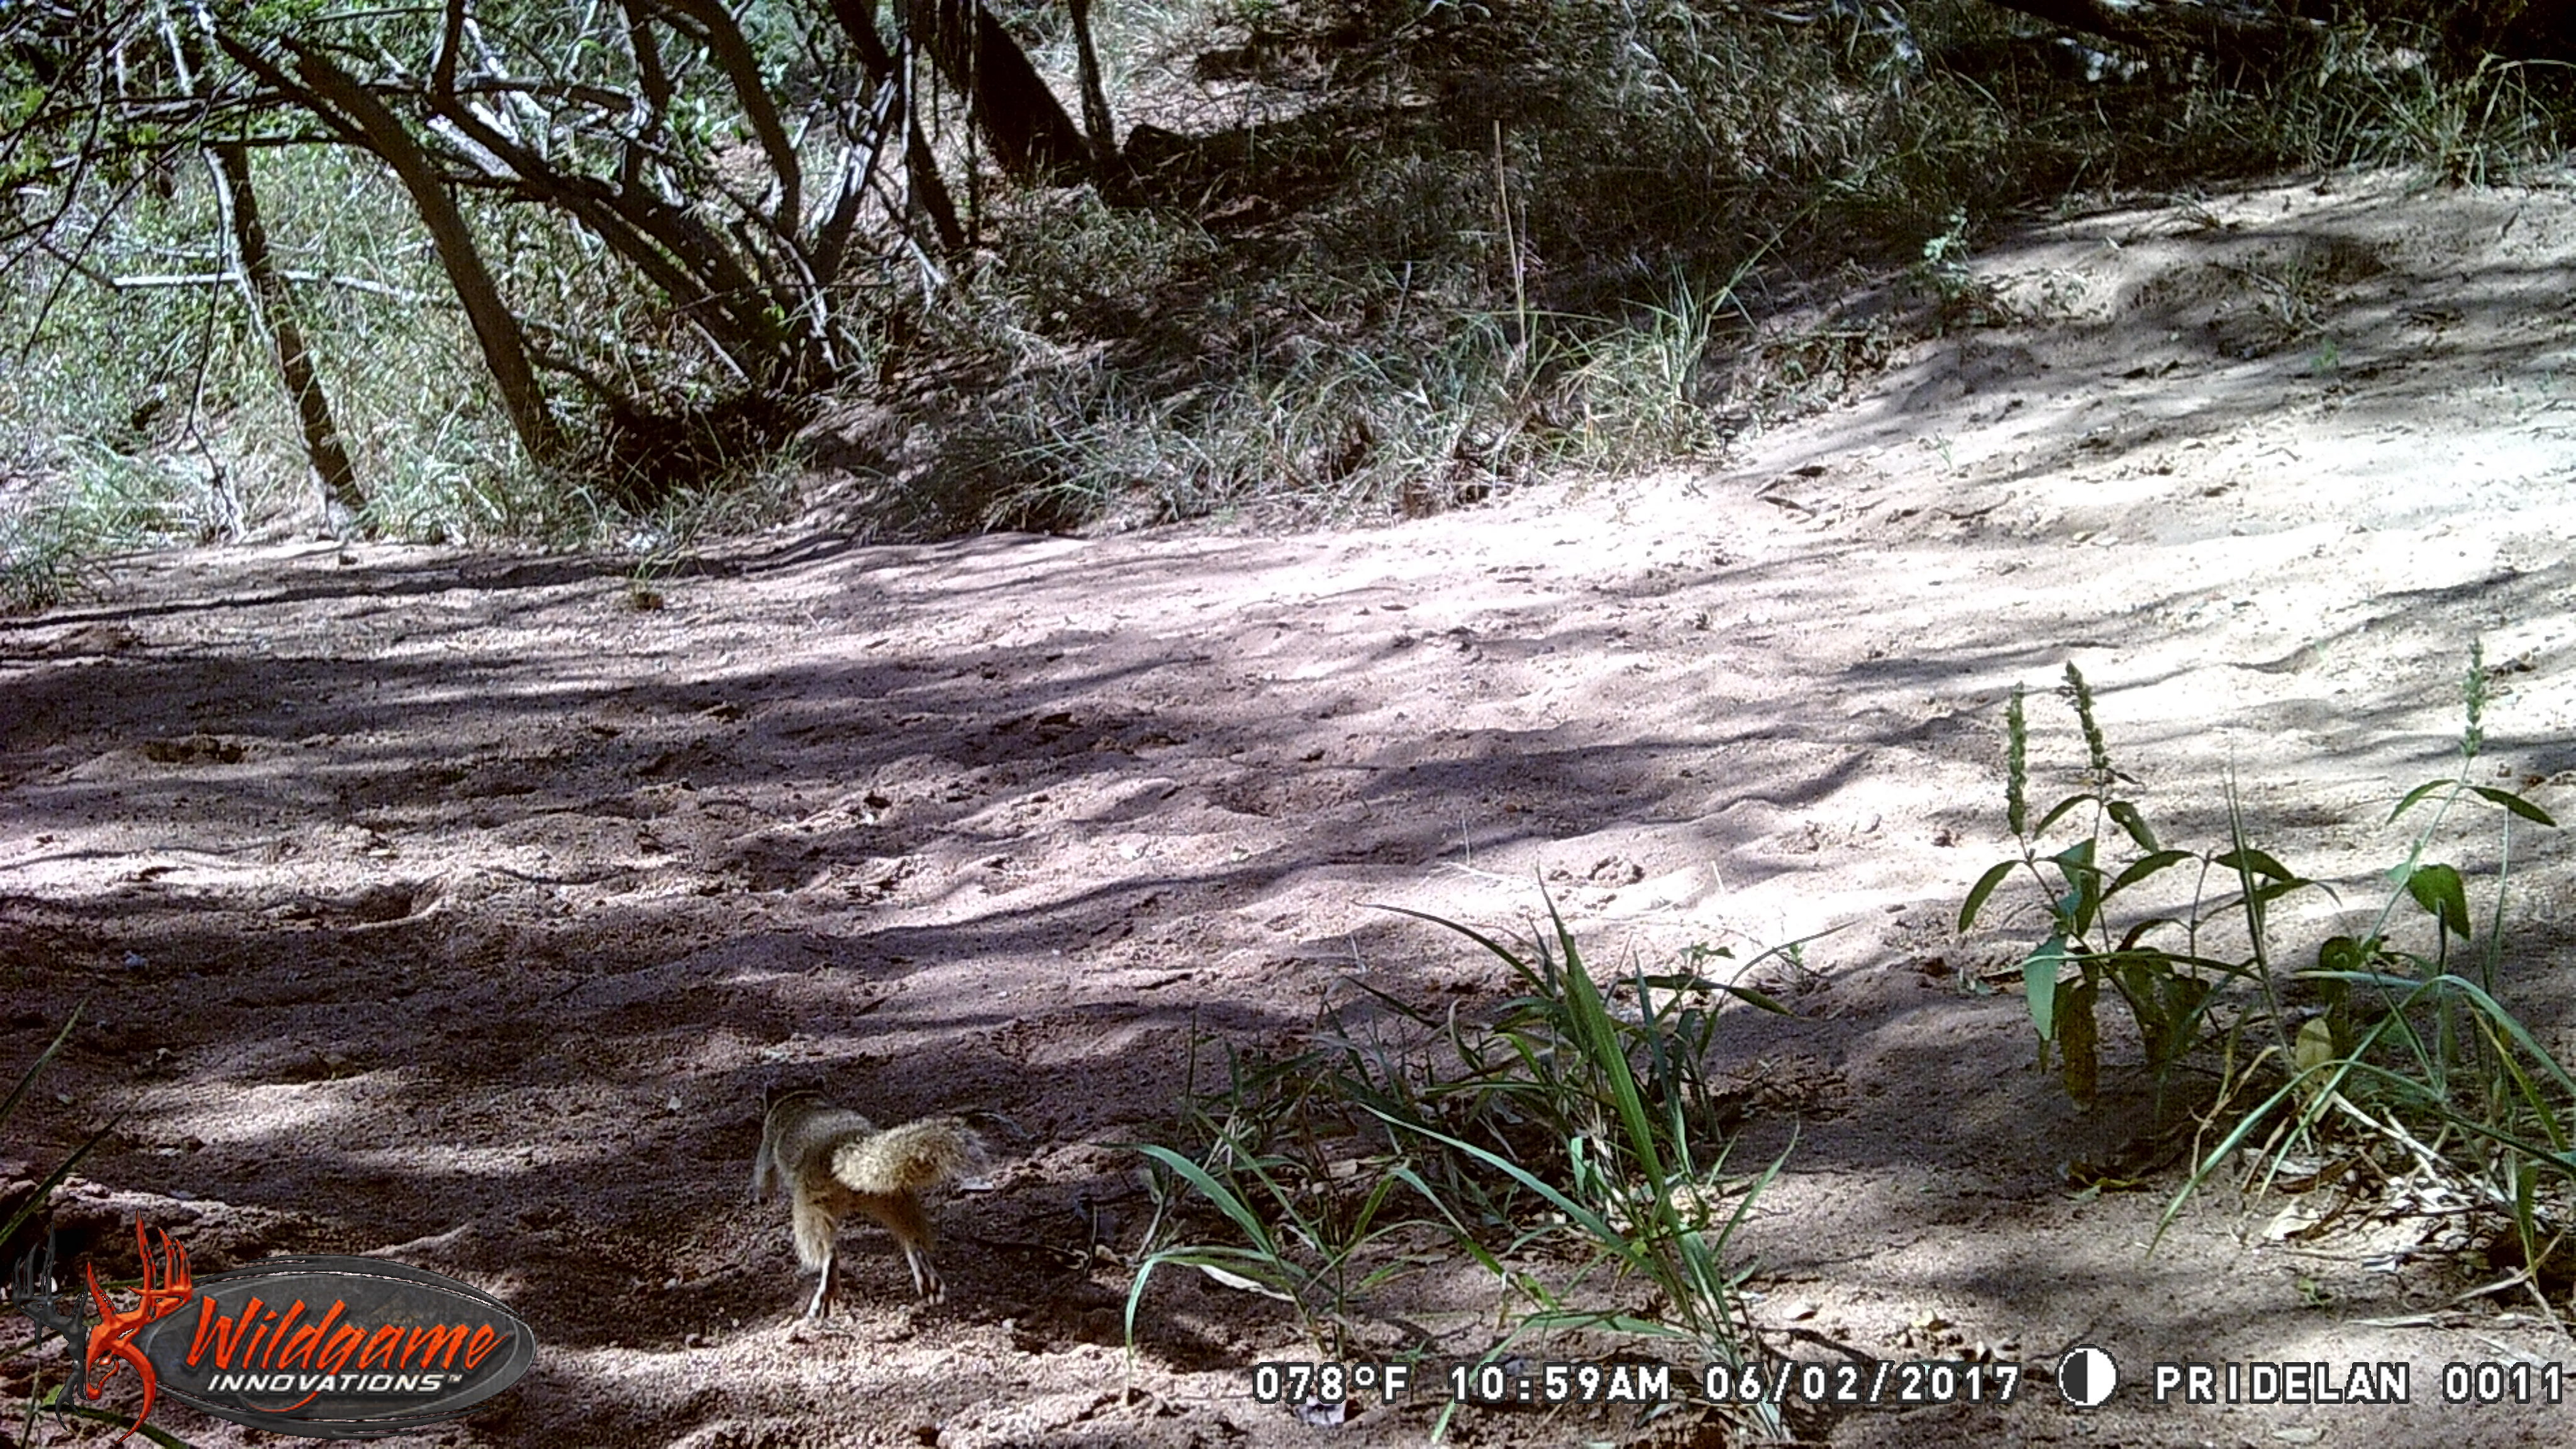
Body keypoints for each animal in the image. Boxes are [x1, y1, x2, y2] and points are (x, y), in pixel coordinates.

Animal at [752, 1082, 984, 1309]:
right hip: (890, 1195)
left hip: (812, 1200)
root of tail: (846, 1148)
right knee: (910, 1231)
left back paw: (826, 1276)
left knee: (821, 1244)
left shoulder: (768, 1137)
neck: (801, 1100)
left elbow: (764, 1172)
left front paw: (761, 1196)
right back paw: (924, 1270)